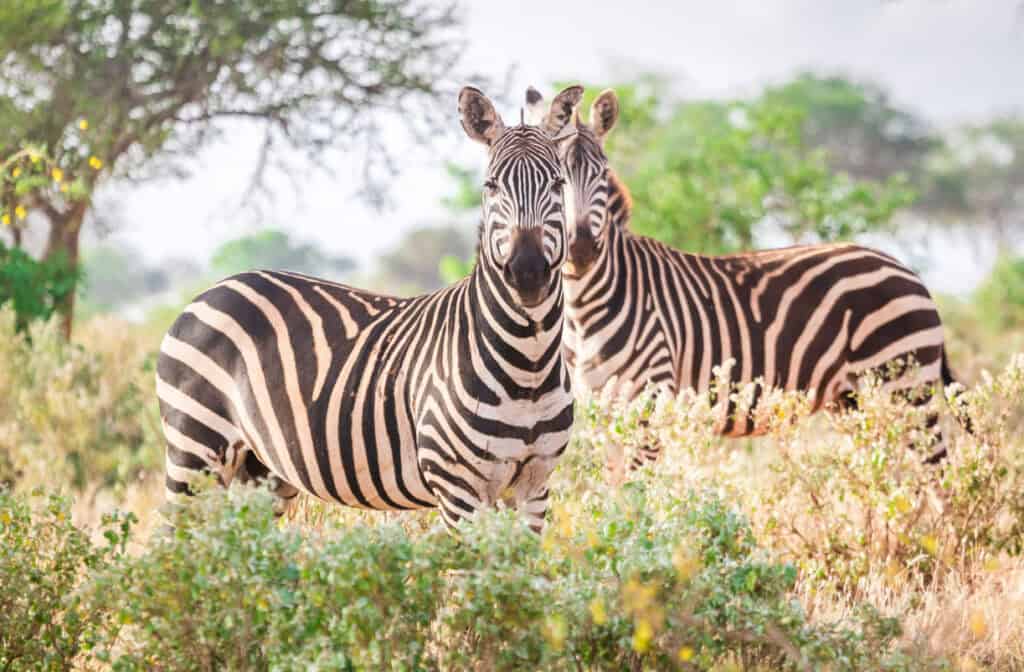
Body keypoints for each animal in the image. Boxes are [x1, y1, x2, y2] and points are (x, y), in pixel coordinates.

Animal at [153, 86, 585, 532]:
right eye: (491, 186)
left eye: (557, 184)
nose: (527, 272)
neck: (529, 365)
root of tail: (213, 289)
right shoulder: (459, 491)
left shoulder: (534, 486)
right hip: (195, 448)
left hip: (259, 469)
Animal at [528, 86, 966, 465]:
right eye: (556, 179)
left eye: (602, 174)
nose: (581, 251)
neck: (586, 309)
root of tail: (908, 272)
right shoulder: (600, 415)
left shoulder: (649, 405)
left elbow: (635, 496)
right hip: (854, 402)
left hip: (904, 388)